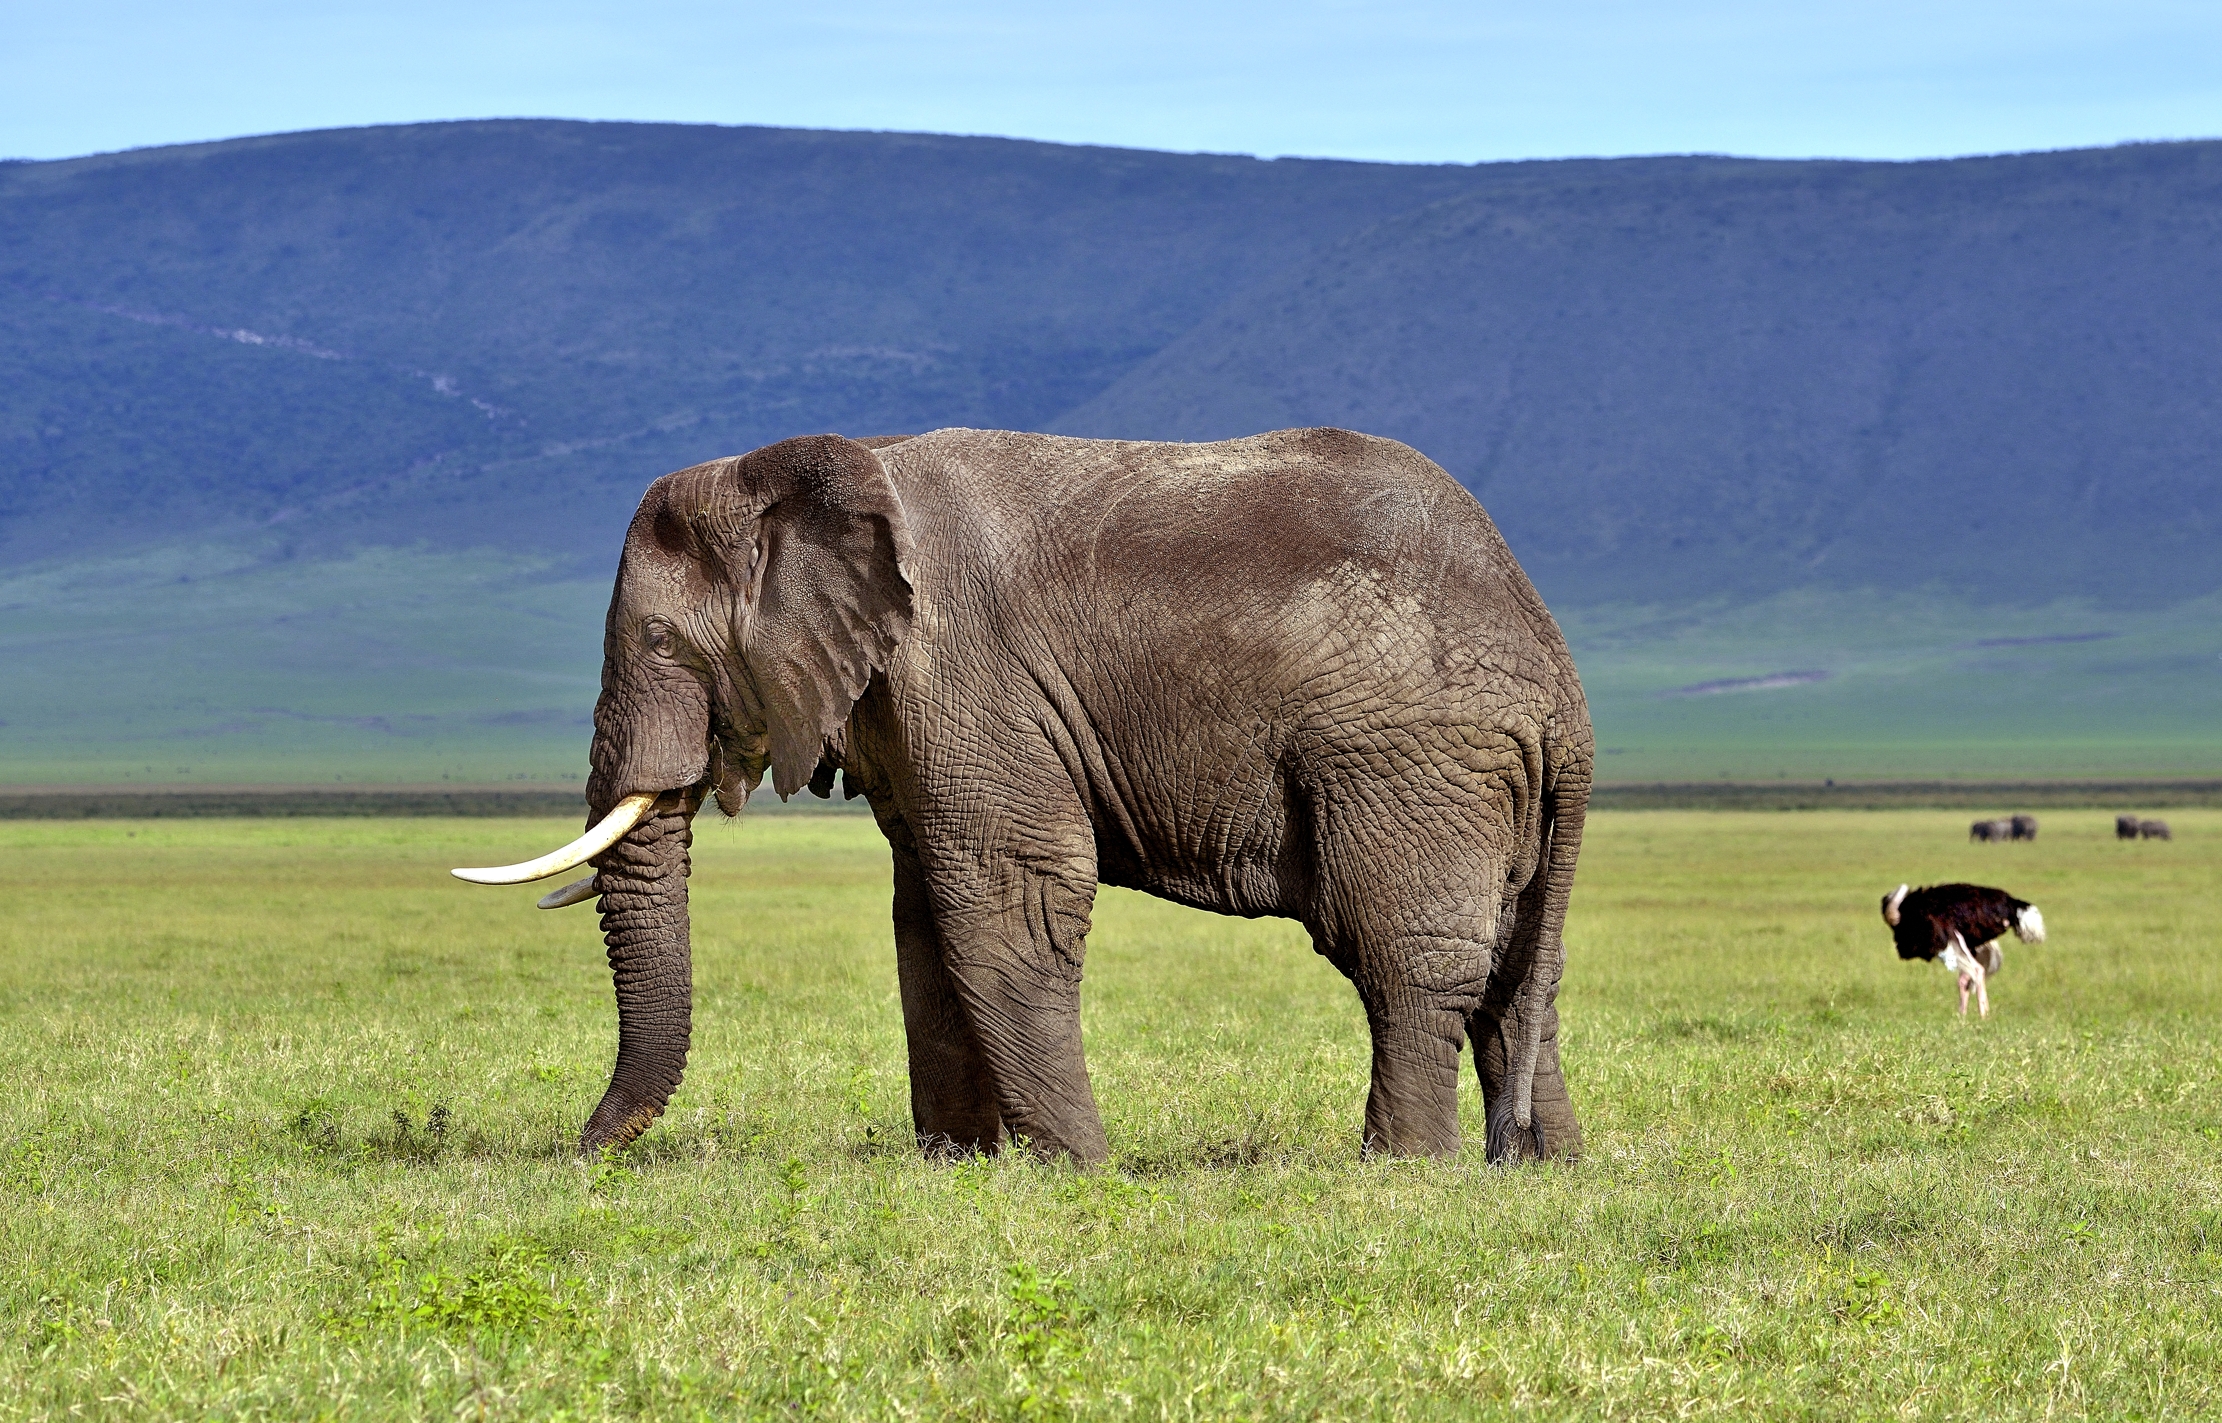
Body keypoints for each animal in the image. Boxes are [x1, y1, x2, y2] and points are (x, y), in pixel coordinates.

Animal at [455, 427, 1594, 1166]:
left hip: (1406, 759)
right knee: (1513, 967)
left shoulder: (962, 671)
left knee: (1404, 956)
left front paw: (1076, 1170)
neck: (811, 471)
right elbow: (925, 916)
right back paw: (1538, 1166)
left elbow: (1010, 902)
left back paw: (1403, 1169)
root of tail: (1555, 671)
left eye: (660, 642)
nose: (577, 1156)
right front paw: (955, 1165)